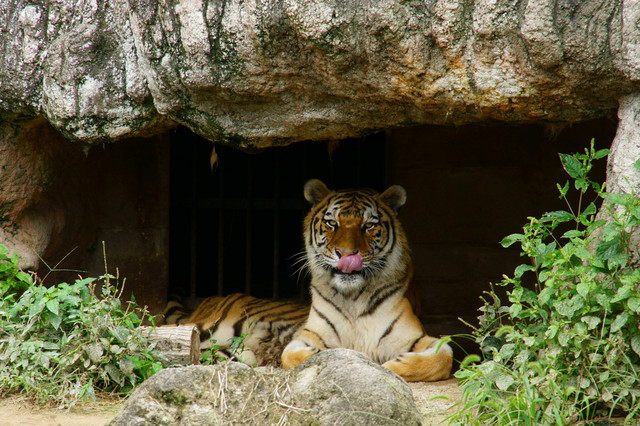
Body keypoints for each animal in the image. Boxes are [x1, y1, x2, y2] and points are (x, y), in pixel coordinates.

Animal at [164, 179, 452, 382]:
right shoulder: (309, 334)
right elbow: (292, 355)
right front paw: (317, 356)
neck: (353, 298)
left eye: (369, 226)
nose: (347, 254)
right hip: (209, 327)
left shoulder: (415, 337)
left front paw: (393, 365)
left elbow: (443, 356)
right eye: (332, 223)